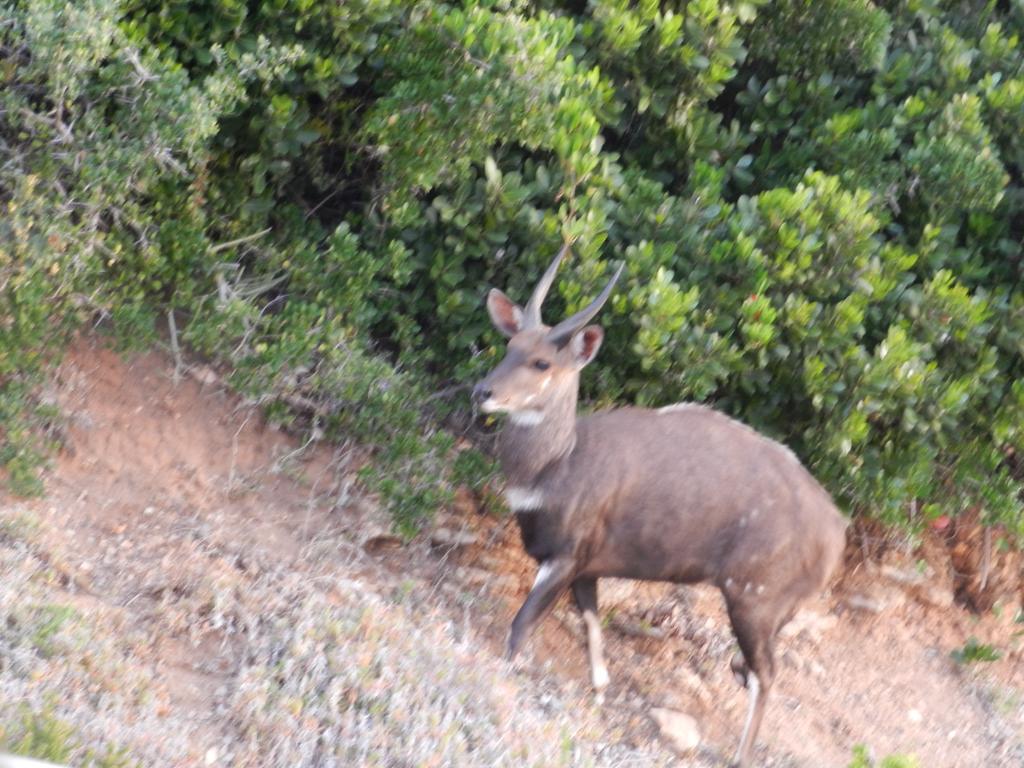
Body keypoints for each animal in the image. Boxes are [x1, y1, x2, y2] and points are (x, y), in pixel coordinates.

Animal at [471, 246, 847, 768]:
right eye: (509, 346)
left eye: (542, 361)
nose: (483, 392)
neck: (557, 465)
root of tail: (837, 533)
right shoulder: (587, 566)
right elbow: (591, 623)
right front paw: (599, 690)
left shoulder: (564, 555)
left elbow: (521, 623)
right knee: (753, 668)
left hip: (753, 597)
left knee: (767, 673)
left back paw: (739, 755)